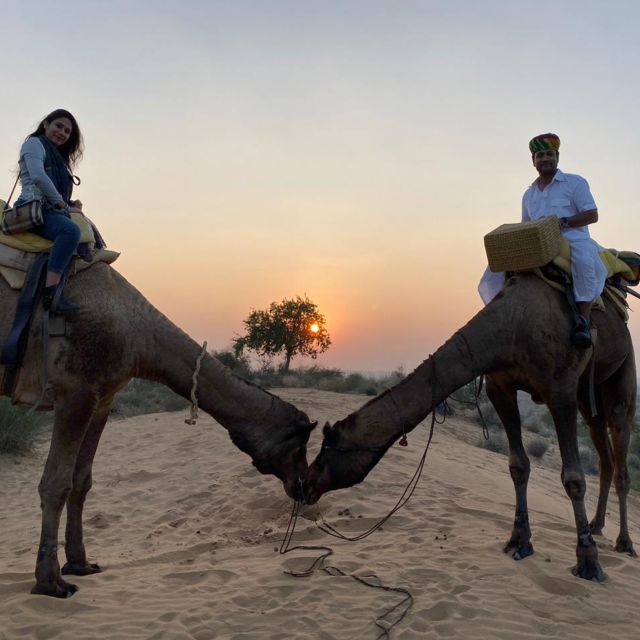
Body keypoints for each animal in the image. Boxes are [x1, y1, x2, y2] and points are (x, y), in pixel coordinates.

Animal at [0, 263, 316, 598]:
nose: (305, 488)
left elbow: (81, 480)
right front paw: (50, 582)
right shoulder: (75, 390)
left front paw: (80, 564)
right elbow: (57, 483)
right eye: (298, 447)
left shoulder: (103, 397)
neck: (140, 338)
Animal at [304, 272, 637, 582]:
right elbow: (518, 466)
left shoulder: (560, 389)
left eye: (323, 456)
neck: (511, 328)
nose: (304, 486)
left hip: (622, 371)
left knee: (621, 450)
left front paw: (588, 561)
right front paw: (519, 542)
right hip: (587, 394)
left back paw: (624, 543)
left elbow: (574, 479)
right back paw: (597, 525)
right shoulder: (500, 387)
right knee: (604, 453)